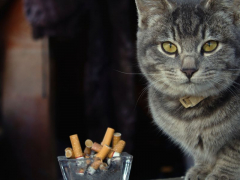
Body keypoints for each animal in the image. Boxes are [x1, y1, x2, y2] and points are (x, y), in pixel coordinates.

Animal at [136, 0, 240, 180]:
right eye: (169, 47)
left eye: (210, 45)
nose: (189, 70)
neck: (193, 117)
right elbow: (201, 153)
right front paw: (201, 169)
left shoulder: (236, 138)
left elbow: (232, 152)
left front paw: (223, 174)